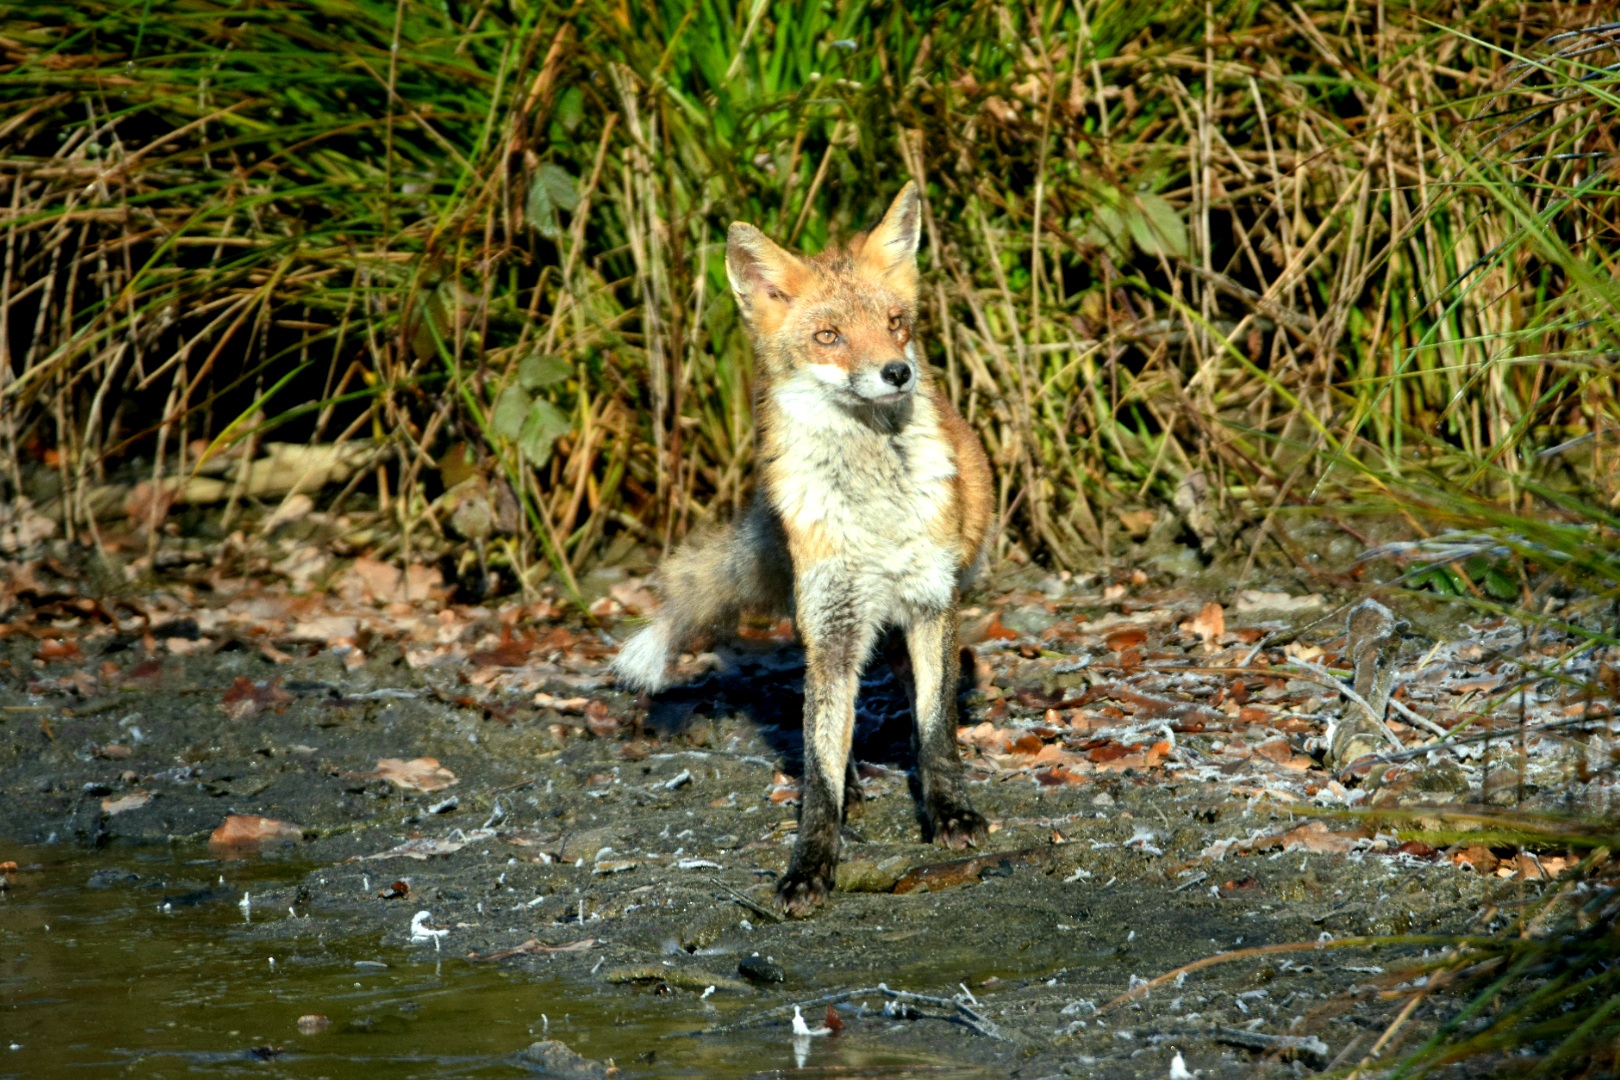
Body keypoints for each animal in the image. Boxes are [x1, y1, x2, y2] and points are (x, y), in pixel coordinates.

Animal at [611, 182, 995, 917]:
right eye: (829, 336)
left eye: (897, 323)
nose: (898, 372)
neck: (873, 508)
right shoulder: (832, 624)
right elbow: (818, 768)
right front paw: (812, 863)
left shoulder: (931, 604)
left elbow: (936, 729)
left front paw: (950, 812)